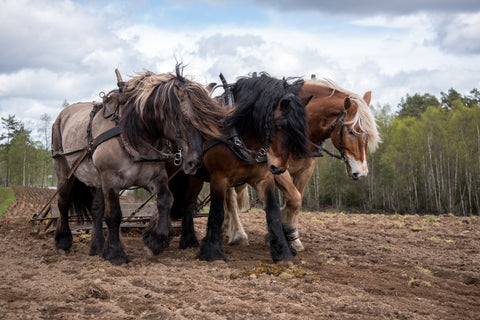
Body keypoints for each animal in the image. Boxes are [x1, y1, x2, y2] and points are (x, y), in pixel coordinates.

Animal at [52, 65, 229, 264]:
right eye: (185, 118)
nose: (195, 162)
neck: (134, 135)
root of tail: (63, 114)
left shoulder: (155, 177)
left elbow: (165, 200)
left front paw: (155, 241)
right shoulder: (110, 178)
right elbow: (114, 215)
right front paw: (116, 254)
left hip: (97, 180)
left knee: (96, 209)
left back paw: (97, 247)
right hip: (64, 171)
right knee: (63, 202)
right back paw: (63, 241)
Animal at [223, 78, 380, 250]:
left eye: (367, 135)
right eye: (351, 131)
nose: (362, 172)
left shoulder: (306, 169)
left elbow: (297, 199)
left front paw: (289, 235)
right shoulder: (276, 167)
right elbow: (294, 198)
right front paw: (288, 236)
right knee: (230, 199)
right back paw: (237, 234)